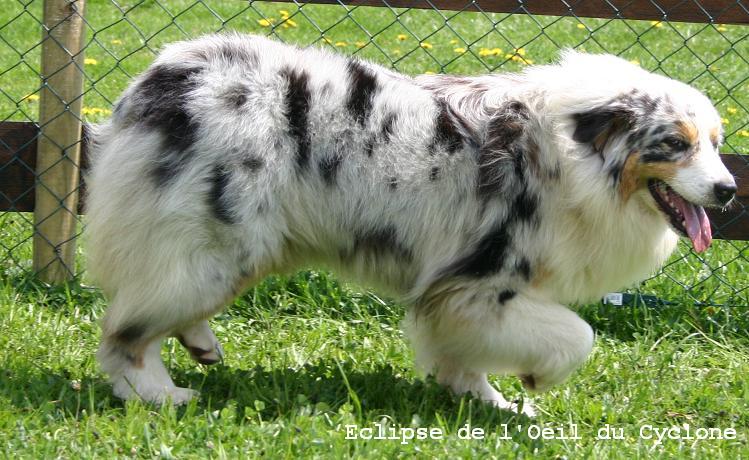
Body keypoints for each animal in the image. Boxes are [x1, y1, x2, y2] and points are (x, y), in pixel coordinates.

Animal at [84, 32, 732, 414]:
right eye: (676, 144)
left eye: (718, 144)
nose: (728, 191)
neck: (577, 154)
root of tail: (167, 72)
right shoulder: (481, 281)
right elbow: (578, 337)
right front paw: (534, 381)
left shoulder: (468, 298)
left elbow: (466, 354)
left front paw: (485, 400)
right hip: (215, 244)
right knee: (126, 331)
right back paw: (159, 393)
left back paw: (198, 344)